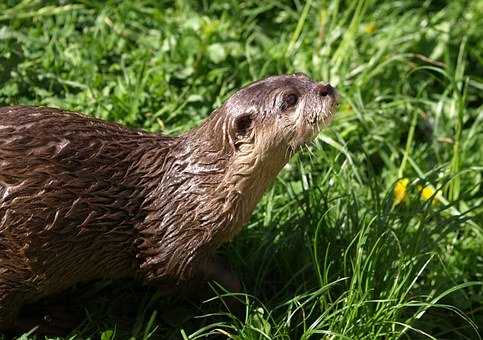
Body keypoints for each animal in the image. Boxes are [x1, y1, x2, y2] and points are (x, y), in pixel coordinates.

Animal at [0, 73, 338, 330]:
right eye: (289, 100)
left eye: (304, 76)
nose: (327, 88)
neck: (197, 187)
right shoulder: (172, 242)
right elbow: (179, 273)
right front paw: (239, 300)